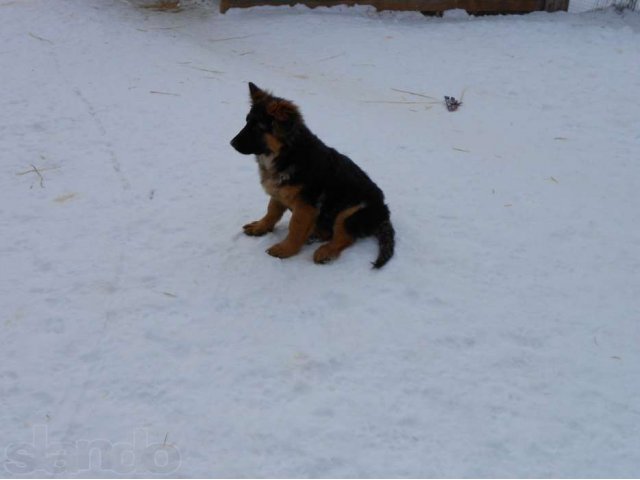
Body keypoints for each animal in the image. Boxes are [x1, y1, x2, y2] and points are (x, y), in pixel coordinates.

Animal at [231, 84, 396, 268]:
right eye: (247, 122)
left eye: (258, 128)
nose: (231, 143)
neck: (287, 153)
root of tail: (384, 215)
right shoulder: (279, 193)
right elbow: (271, 212)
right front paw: (261, 227)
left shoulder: (306, 205)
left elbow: (295, 227)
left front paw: (286, 249)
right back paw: (313, 235)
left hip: (349, 212)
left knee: (344, 237)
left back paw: (325, 251)